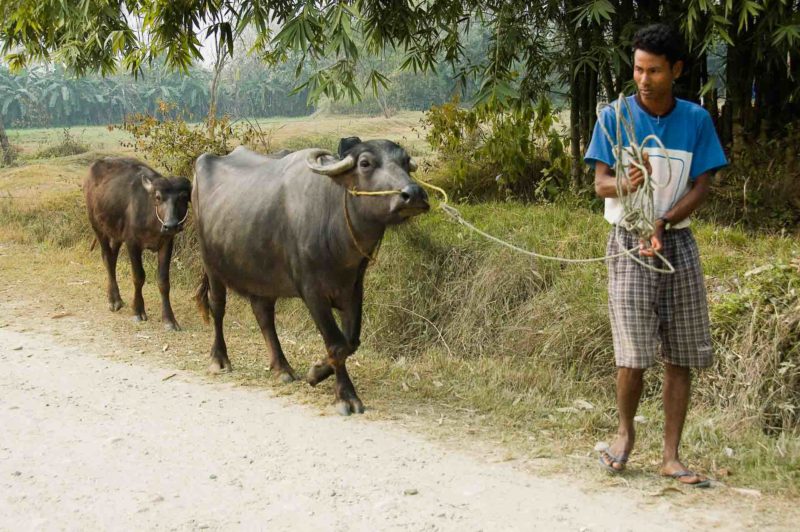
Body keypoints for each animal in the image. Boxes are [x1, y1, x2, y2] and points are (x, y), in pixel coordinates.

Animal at [85, 156, 192, 330]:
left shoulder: (167, 243)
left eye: (183, 197)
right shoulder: (133, 244)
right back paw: (113, 301)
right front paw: (138, 311)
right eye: (158, 197)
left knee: (112, 259)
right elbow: (138, 276)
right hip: (98, 227)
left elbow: (163, 281)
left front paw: (169, 320)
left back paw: (117, 298)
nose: (170, 225)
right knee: (107, 258)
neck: (153, 221)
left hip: (116, 234)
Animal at [193, 138, 428, 416]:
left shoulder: (353, 288)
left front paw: (316, 372)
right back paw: (219, 359)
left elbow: (351, 341)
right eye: (365, 163)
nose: (414, 194)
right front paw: (346, 396)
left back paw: (282, 368)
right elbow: (336, 343)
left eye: (406, 162)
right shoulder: (312, 291)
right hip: (211, 265)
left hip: (263, 277)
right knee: (218, 307)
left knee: (264, 314)